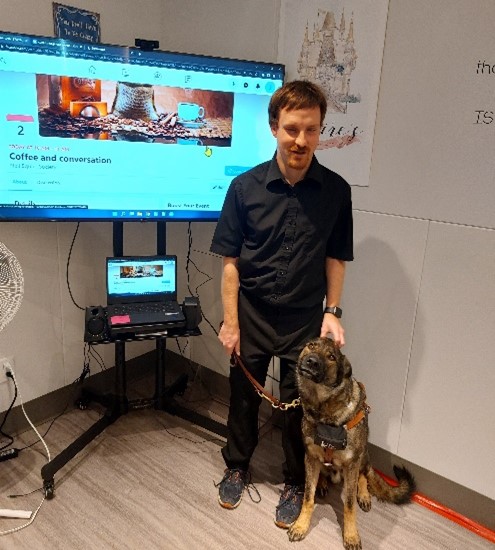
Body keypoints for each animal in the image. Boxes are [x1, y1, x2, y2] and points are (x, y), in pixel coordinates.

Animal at [288, 338, 416, 548]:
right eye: (311, 345)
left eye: (331, 356)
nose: (311, 361)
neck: (324, 410)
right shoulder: (311, 456)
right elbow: (308, 497)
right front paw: (301, 525)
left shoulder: (351, 464)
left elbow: (349, 505)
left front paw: (351, 535)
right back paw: (322, 482)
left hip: (362, 456)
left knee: (364, 475)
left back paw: (363, 494)